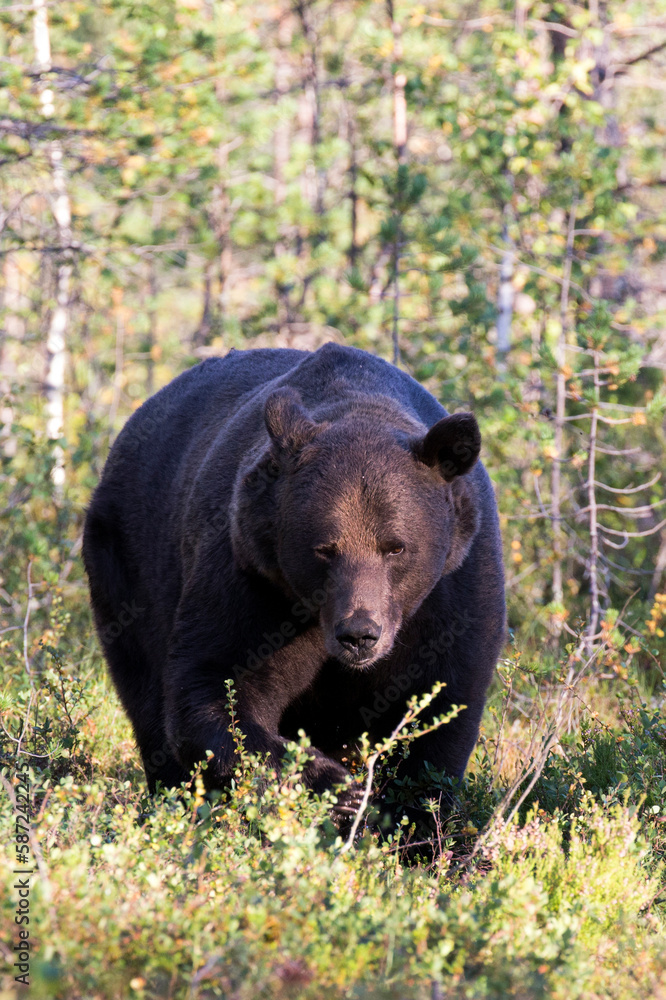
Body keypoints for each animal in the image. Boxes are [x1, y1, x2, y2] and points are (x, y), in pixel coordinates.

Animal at [84, 344, 504, 820]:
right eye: (324, 548)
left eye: (395, 547)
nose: (359, 634)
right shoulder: (254, 576)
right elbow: (216, 686)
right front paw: (336, 788)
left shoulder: (453, 592)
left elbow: (440, 713)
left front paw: (416, 822)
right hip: (126, 563)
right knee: (146, 690)